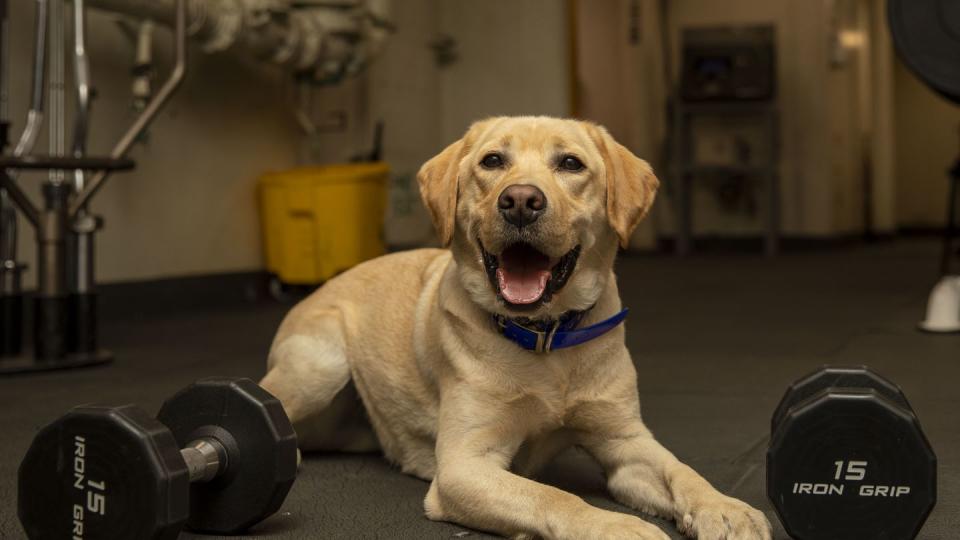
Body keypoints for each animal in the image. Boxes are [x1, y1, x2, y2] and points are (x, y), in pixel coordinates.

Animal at [262, 116, 772, 536]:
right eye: (492, 161)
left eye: (570, 163)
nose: (521, 201)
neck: (546, 338)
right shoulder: (464, 467)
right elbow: (553, 496)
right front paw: (616, 527)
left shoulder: (625, 442)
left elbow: (680, 470)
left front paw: (724, 507)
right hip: (321, 366)